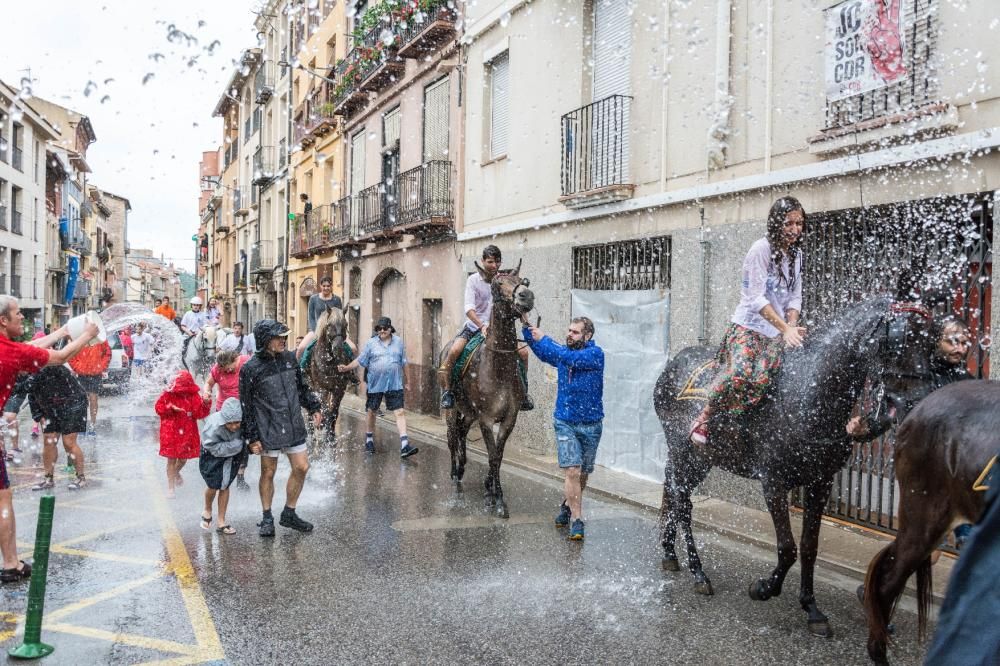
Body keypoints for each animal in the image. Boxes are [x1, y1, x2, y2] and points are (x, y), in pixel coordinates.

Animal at [306, 306, 358, 436]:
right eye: (329, 325)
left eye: (345, 324)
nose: (338, 348)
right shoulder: (322, 389)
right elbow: (325, 412)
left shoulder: (339, 389)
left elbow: (333, 413)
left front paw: (331, 435)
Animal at [444, 260, 536, 520]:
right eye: (497, 285)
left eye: (522, 281)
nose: (526, 296)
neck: (498, 366)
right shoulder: (485, 418)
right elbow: (493, 455)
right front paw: (496, 500)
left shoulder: (509, 418)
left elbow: (499, 455)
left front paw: (491, 491)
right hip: (452, 409)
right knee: (452, 437)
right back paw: (454, 476)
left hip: (469, 413)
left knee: (462, 432)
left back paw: (462, 466)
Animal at [656, 294, 936, 632]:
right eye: (899, 340)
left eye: (932, 342)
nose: (920, 401)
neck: (809, 394)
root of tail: (672, 364)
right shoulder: (774, 483)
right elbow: (787, 548)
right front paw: (763, 588)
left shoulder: (820, 483)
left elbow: (809, 547)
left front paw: (812, 608)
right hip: (684, 452)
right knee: (683, 502)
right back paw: (698, 573)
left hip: (700, 459)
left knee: (673, 494)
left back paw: (670, 554)